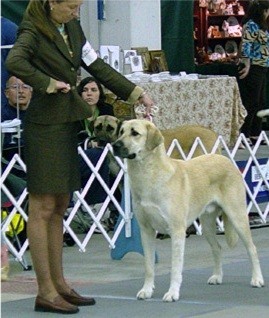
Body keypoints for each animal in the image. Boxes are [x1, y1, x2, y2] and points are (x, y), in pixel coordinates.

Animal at [111, 118, 264, 300]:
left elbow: (175, 268)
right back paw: (217, 276)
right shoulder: (146, 231)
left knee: (252, 249)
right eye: (121, 132)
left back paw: (257, 279)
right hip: (207, 225)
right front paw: (147, 290)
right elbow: (148, 266)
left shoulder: (177, 231)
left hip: (237, 217)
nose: (114, 145)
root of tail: (227, 160)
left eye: (135, 133)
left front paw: (172, 293)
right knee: (217, 248)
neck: (149, 174)